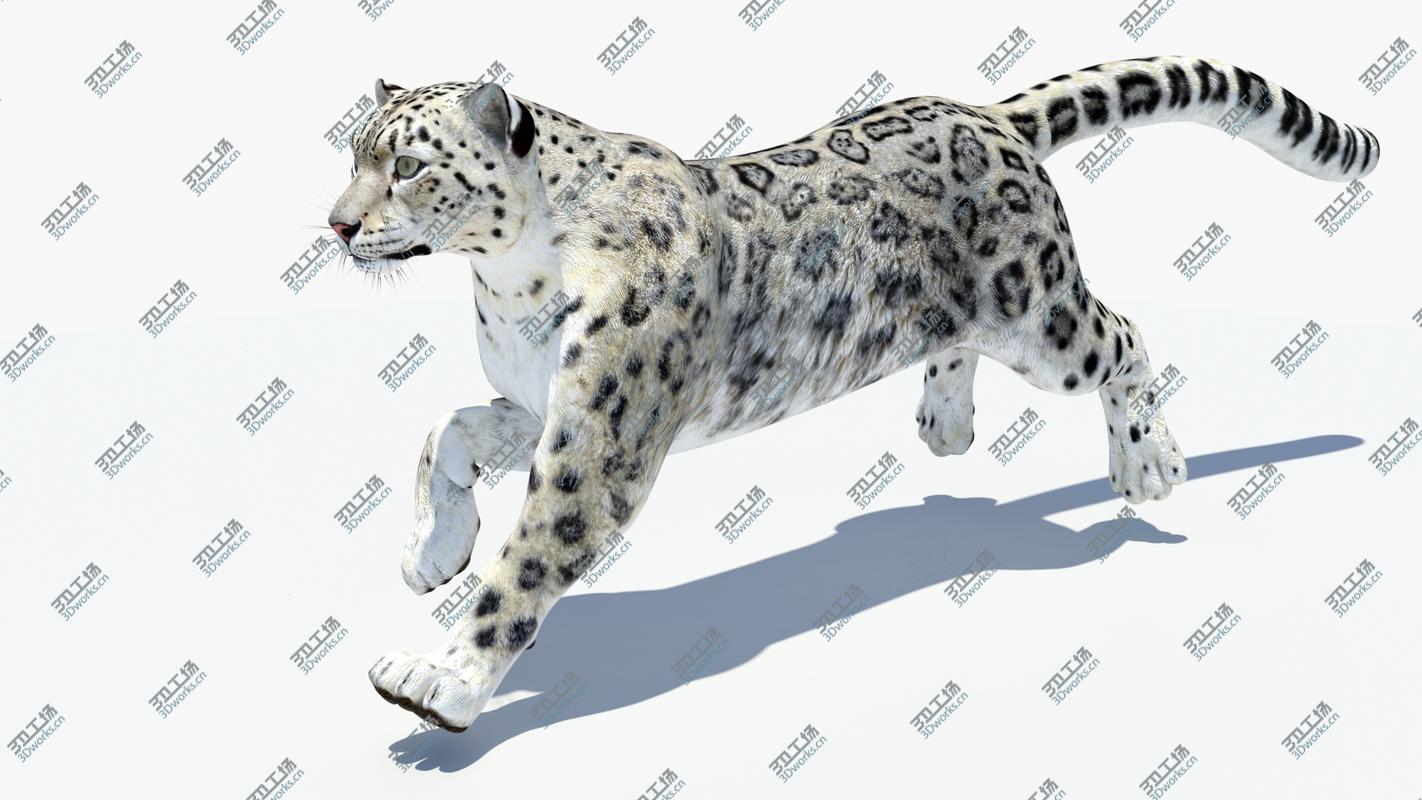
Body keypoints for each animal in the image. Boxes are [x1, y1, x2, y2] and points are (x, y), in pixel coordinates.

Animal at [326, 56, 1379, 732]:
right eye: (353, 154)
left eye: (407, 164)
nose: (335, 224)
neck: (506, 281)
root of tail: (989, 116)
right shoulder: (536, 401)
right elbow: (445, 430)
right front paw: (431, 554)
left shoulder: (602, 435)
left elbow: (526, 565)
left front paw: (438, 678)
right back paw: (946, 421)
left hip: (1042, 319)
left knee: (1122, 336)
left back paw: (1149, 463)